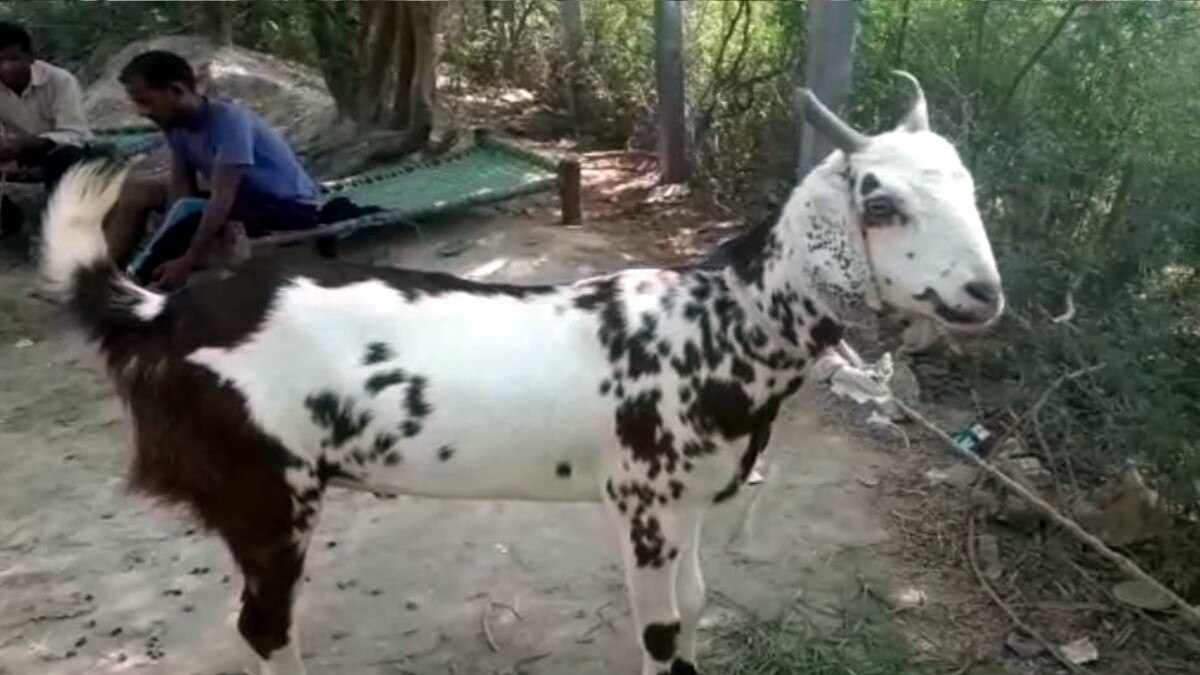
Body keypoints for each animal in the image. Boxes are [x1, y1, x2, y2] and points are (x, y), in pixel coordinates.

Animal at [39, 73, 1003, 675]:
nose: (982, 294)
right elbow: (660, 629)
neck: (718, 324)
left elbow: (695, 605)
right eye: (880, 202)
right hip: (265, 489)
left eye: (969, 187)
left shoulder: (686, 500)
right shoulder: (642, 503)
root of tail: (159, 314)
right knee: (263, 624)